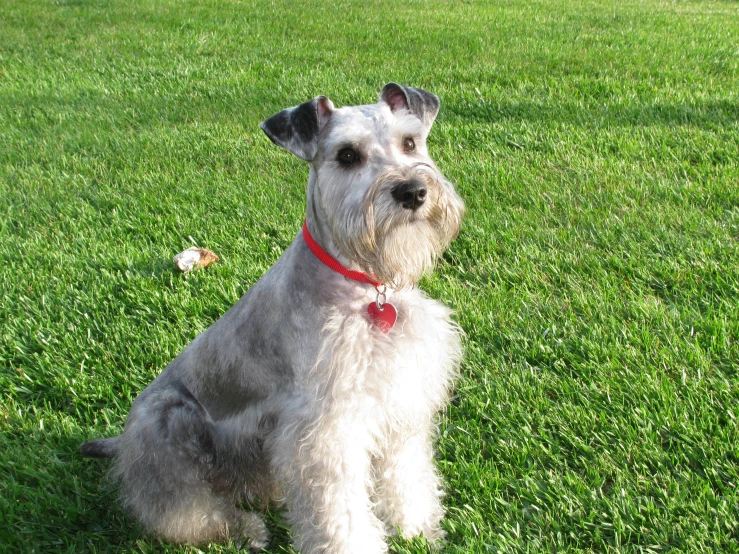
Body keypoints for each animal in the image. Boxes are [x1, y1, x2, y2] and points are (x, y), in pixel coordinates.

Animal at [81, 83, 462, 552]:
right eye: (347, 155)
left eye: (410, 142)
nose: (412, 192)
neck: (367, 288)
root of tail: (122, 442)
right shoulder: (326, 434)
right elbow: (342, 514)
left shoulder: (402, 403)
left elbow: (408, 476)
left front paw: (417, 529)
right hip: (171, 426)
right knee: (183, 513)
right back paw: (246, 529)